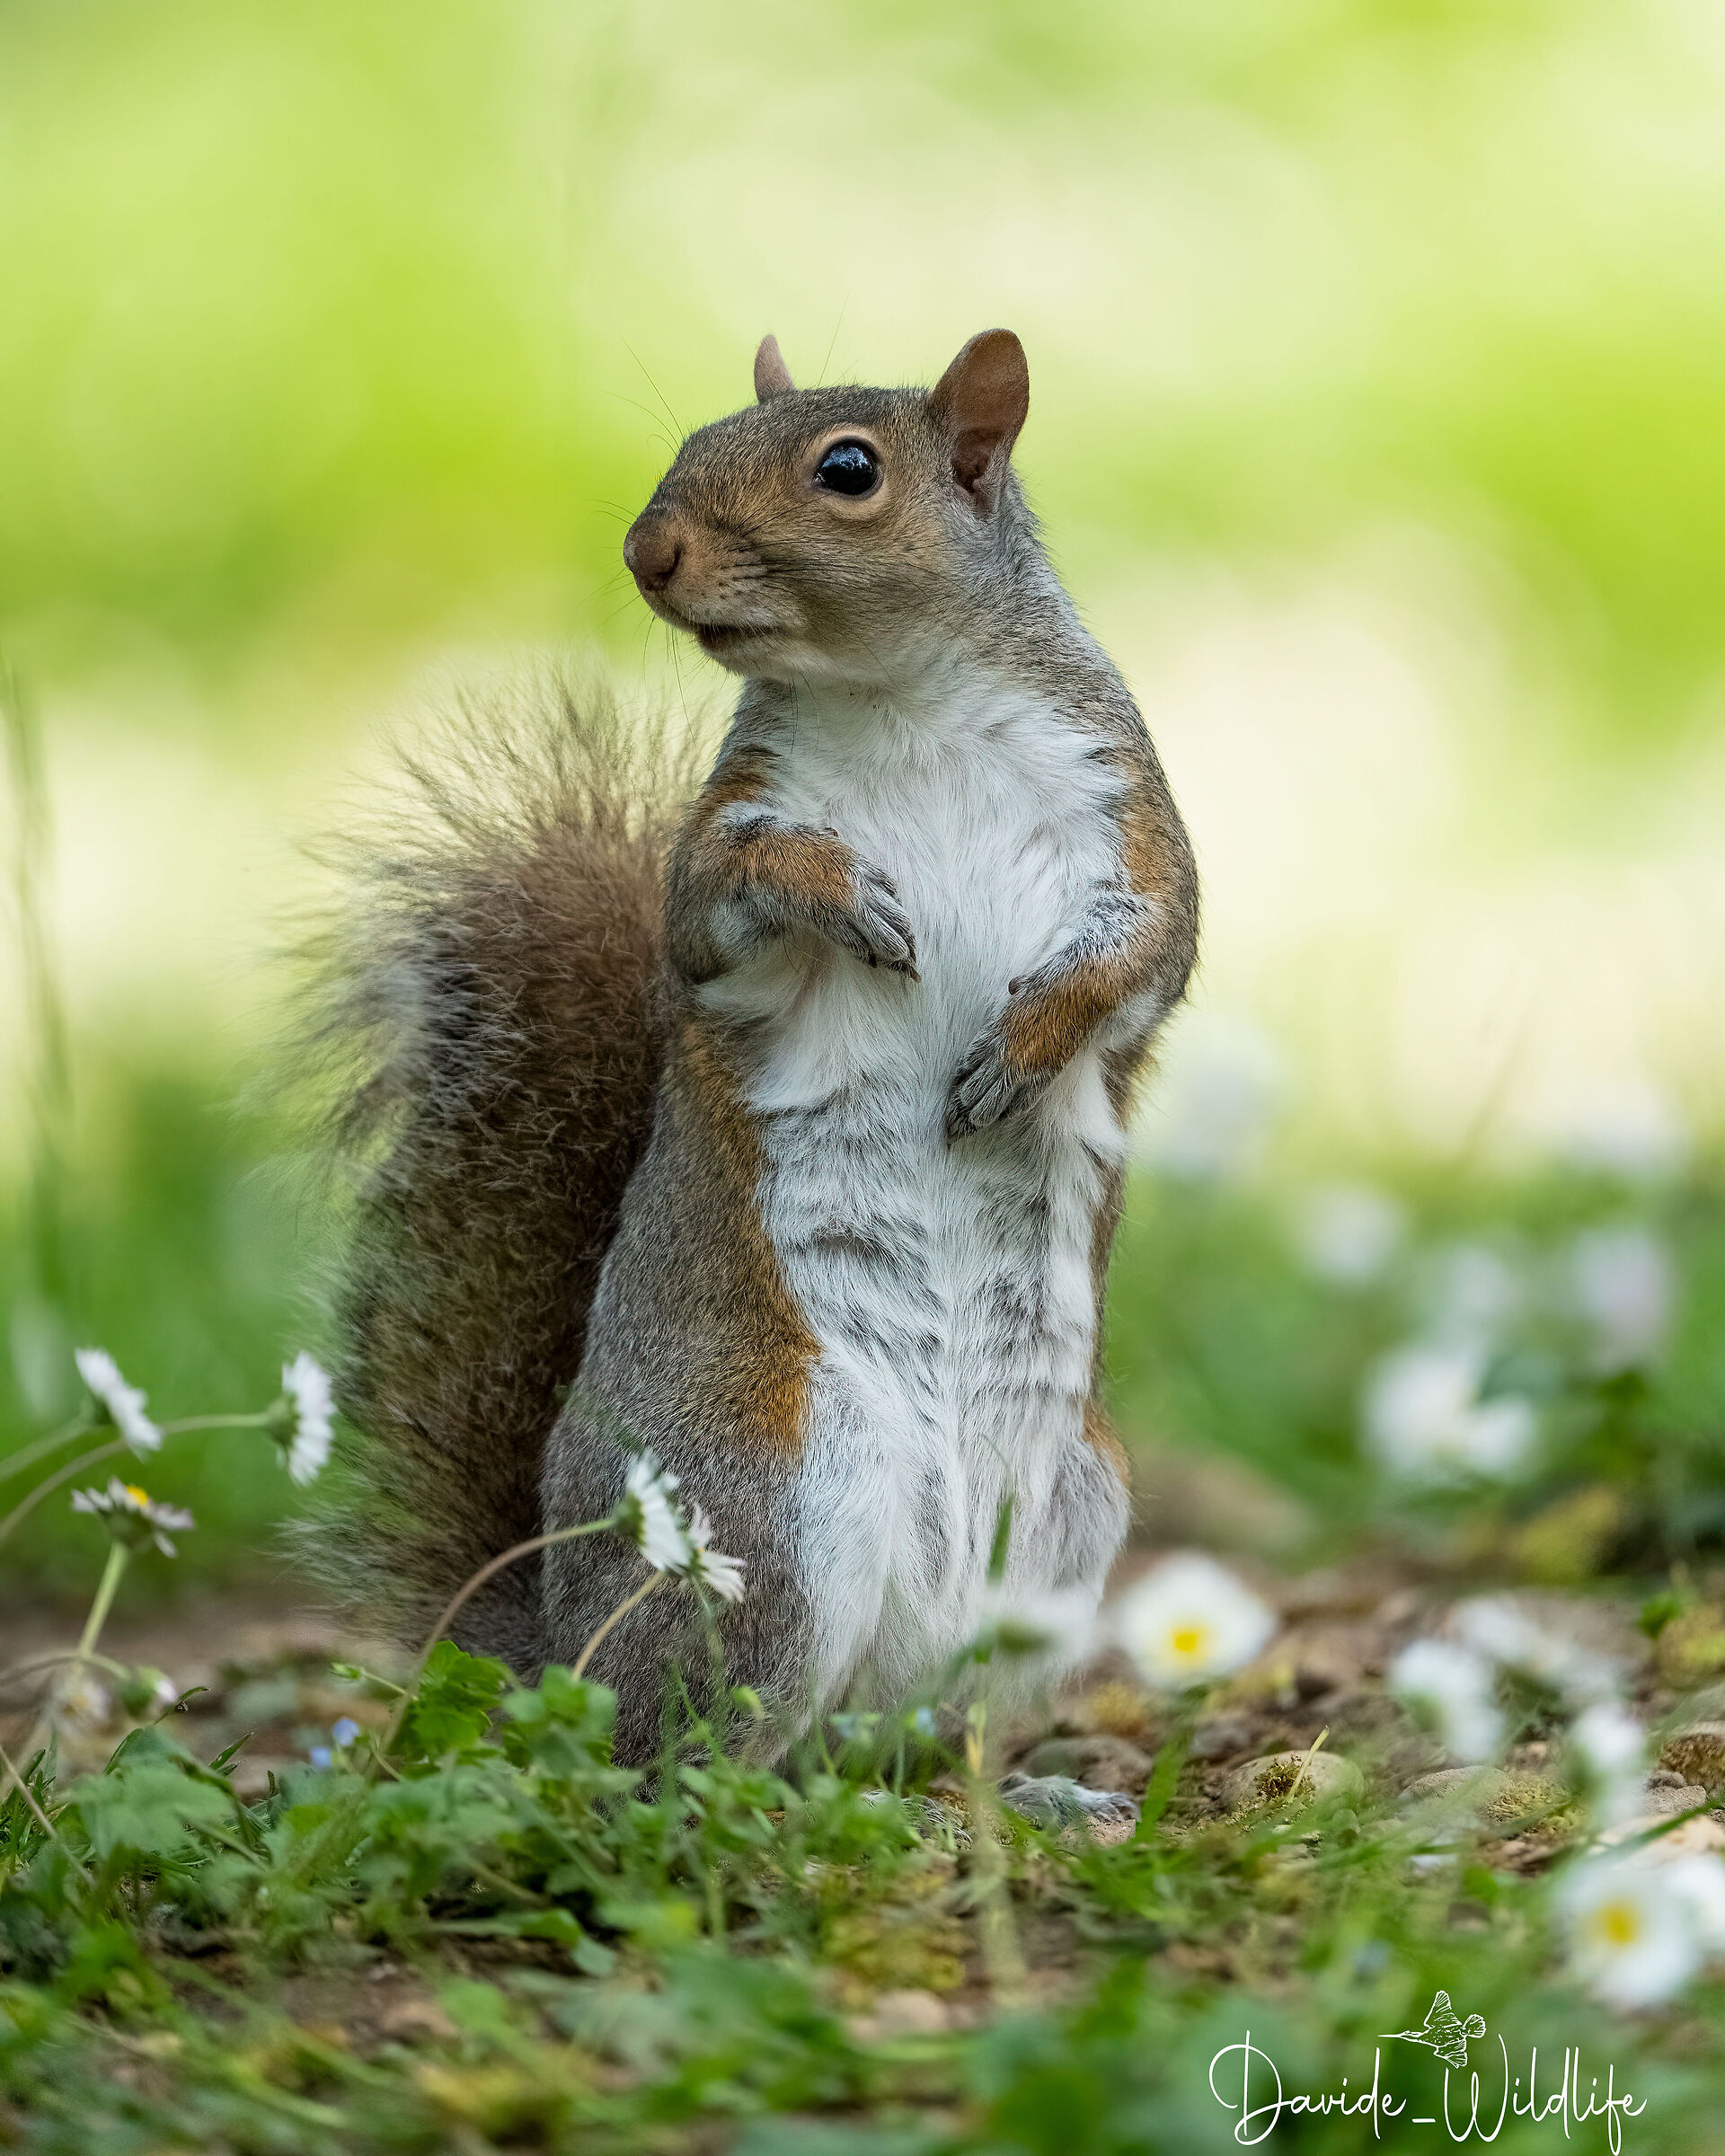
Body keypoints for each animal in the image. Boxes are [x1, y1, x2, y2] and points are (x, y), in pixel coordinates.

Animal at [311, 329, 1198, 1807]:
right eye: (693, 439)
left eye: (848, 470)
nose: (645, 549)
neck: (904, 702)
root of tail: (557, 1659)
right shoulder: (731, 829)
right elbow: (714, 904)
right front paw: (836, 892)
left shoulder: (1127, 819)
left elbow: (1146, 955)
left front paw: (1021, 1053)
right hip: (763, 1503)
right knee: (689, 1757)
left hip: (1066, 1517)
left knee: (908, 1739)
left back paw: (1017, 1792)